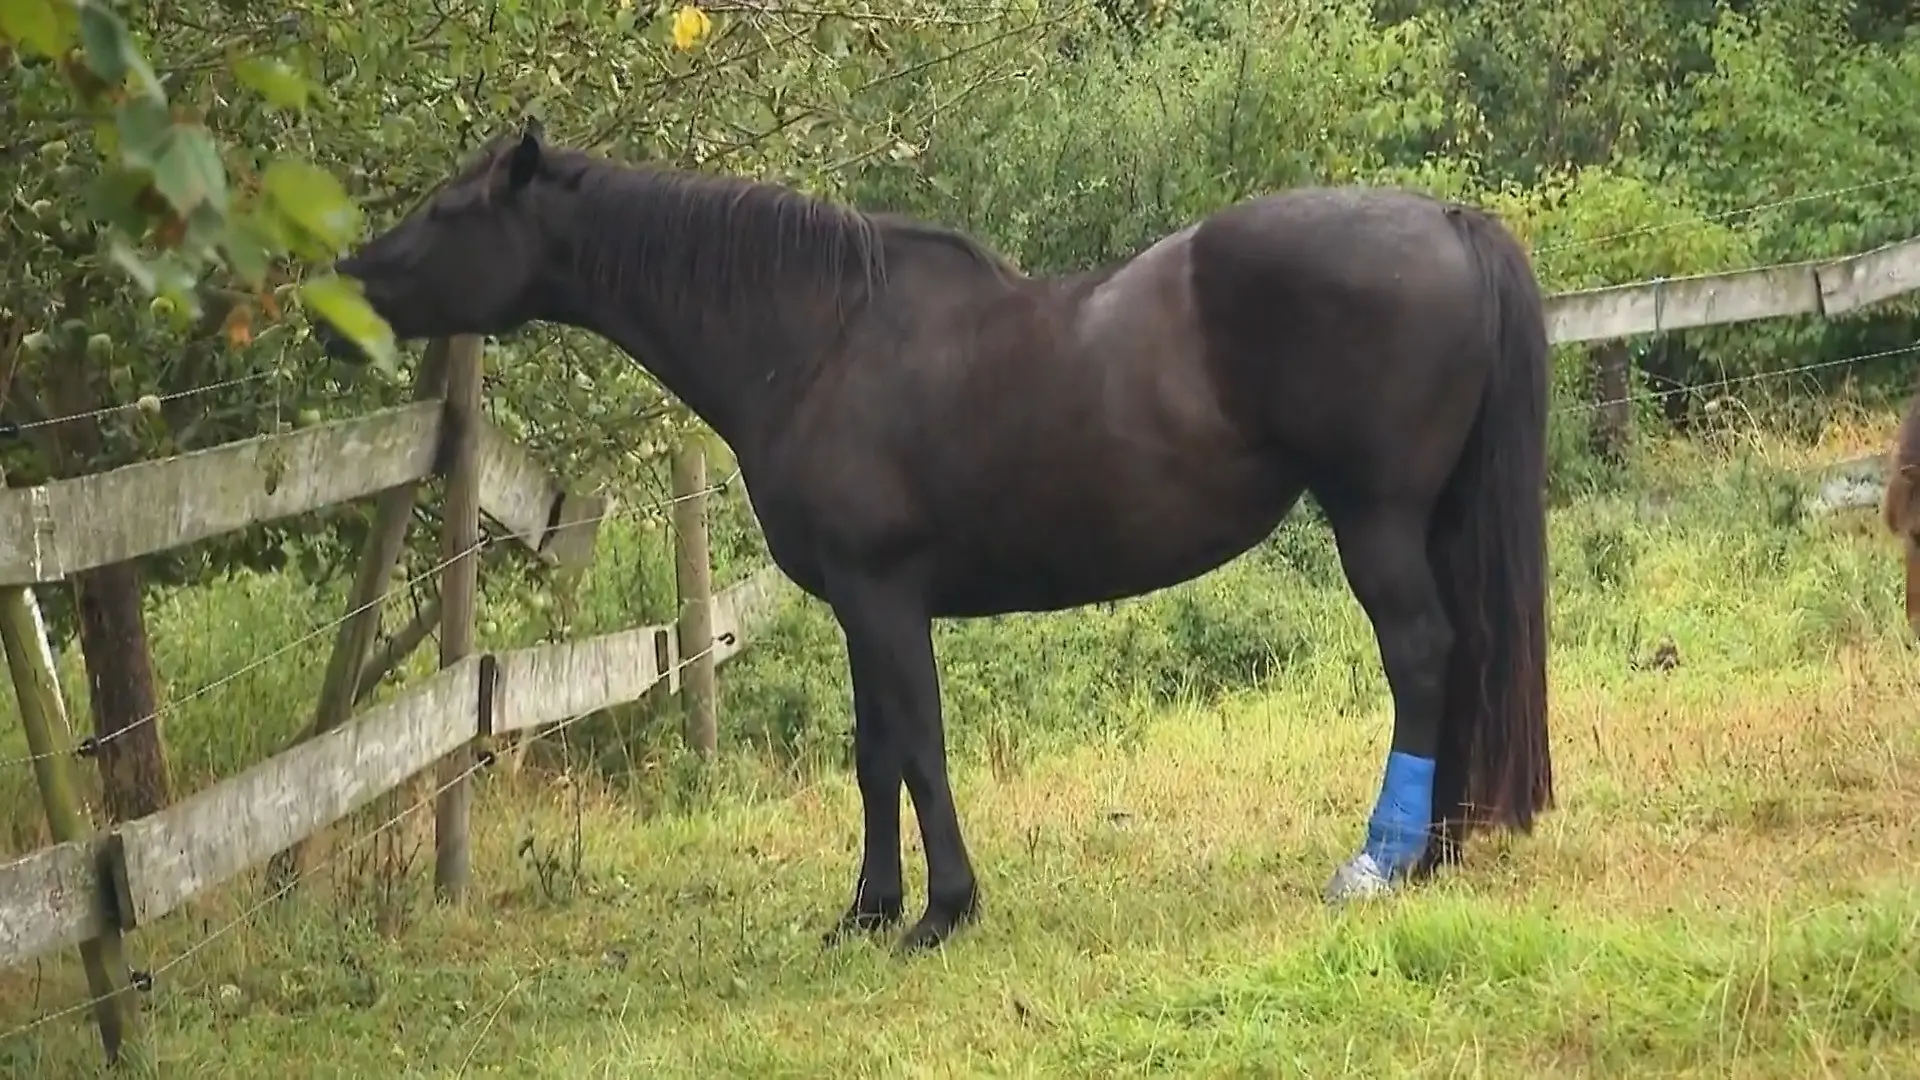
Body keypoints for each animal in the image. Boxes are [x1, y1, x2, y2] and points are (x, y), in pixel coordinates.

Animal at [317, 120, 1555, 953]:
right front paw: (870, 909)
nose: (340, 287)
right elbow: (873, 754)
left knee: (1423, 658)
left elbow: (918, 743)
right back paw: (1439, 848)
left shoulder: (882, 593)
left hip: (1376, 519)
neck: (815, 341)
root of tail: (1446, 221)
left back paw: (1380, 860)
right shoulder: (857, 604)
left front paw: (944, 911)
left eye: (449, 210)